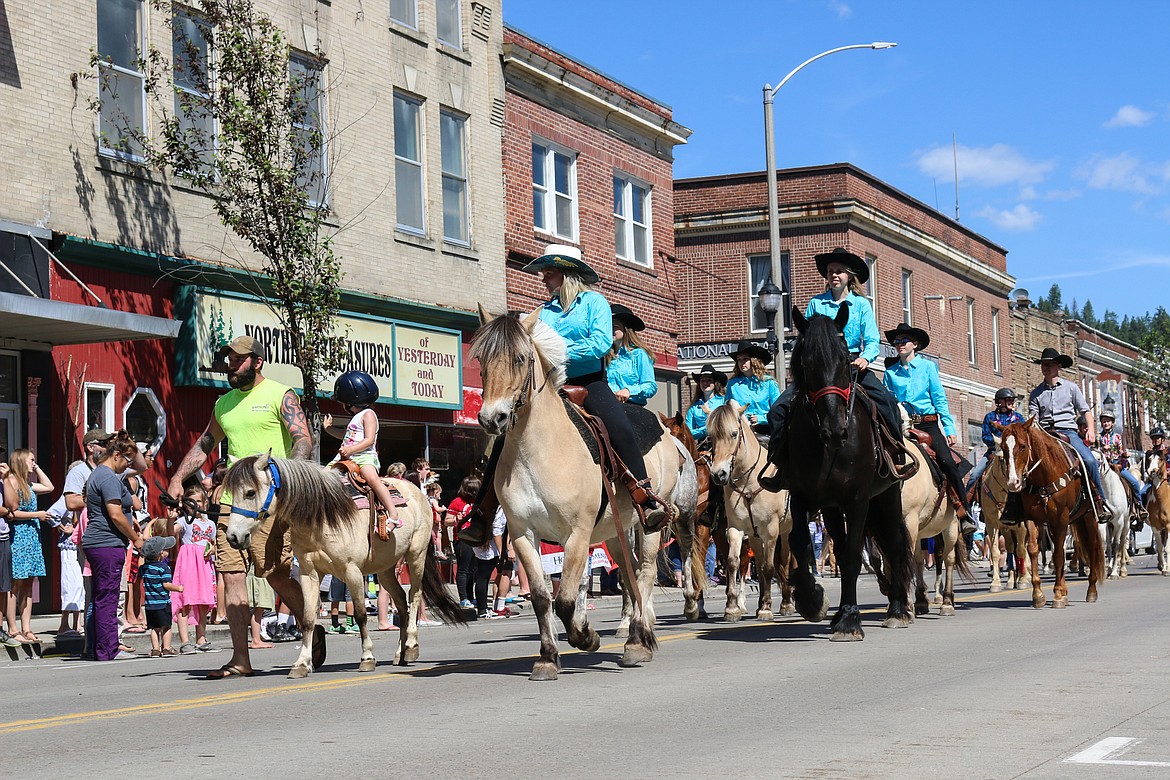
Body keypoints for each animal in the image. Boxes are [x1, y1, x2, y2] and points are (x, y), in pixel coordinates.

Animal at [223, 453, 465, 678]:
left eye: (250, 492)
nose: (233, 537)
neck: (321, 517)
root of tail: (416, 490)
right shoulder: (309, 573)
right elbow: (308, 618)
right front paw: (301, 664)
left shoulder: (352, 571)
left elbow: (360, 614)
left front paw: (367, 657)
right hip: (385, 569)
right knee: (401, 603)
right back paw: (400, 654)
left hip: (416, 555)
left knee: (414, 596)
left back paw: (411, 646)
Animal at [781, 308, 917, 645]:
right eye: (806, 362)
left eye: (845, 359)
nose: (835, 430)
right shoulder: (805, 496)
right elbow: (802, 541)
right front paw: (813, 601)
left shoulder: (857, 500)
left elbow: (854, 556)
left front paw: (849, 621)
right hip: (833, 509)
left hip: (887, 497)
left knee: (895, 543)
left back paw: (897, 610)